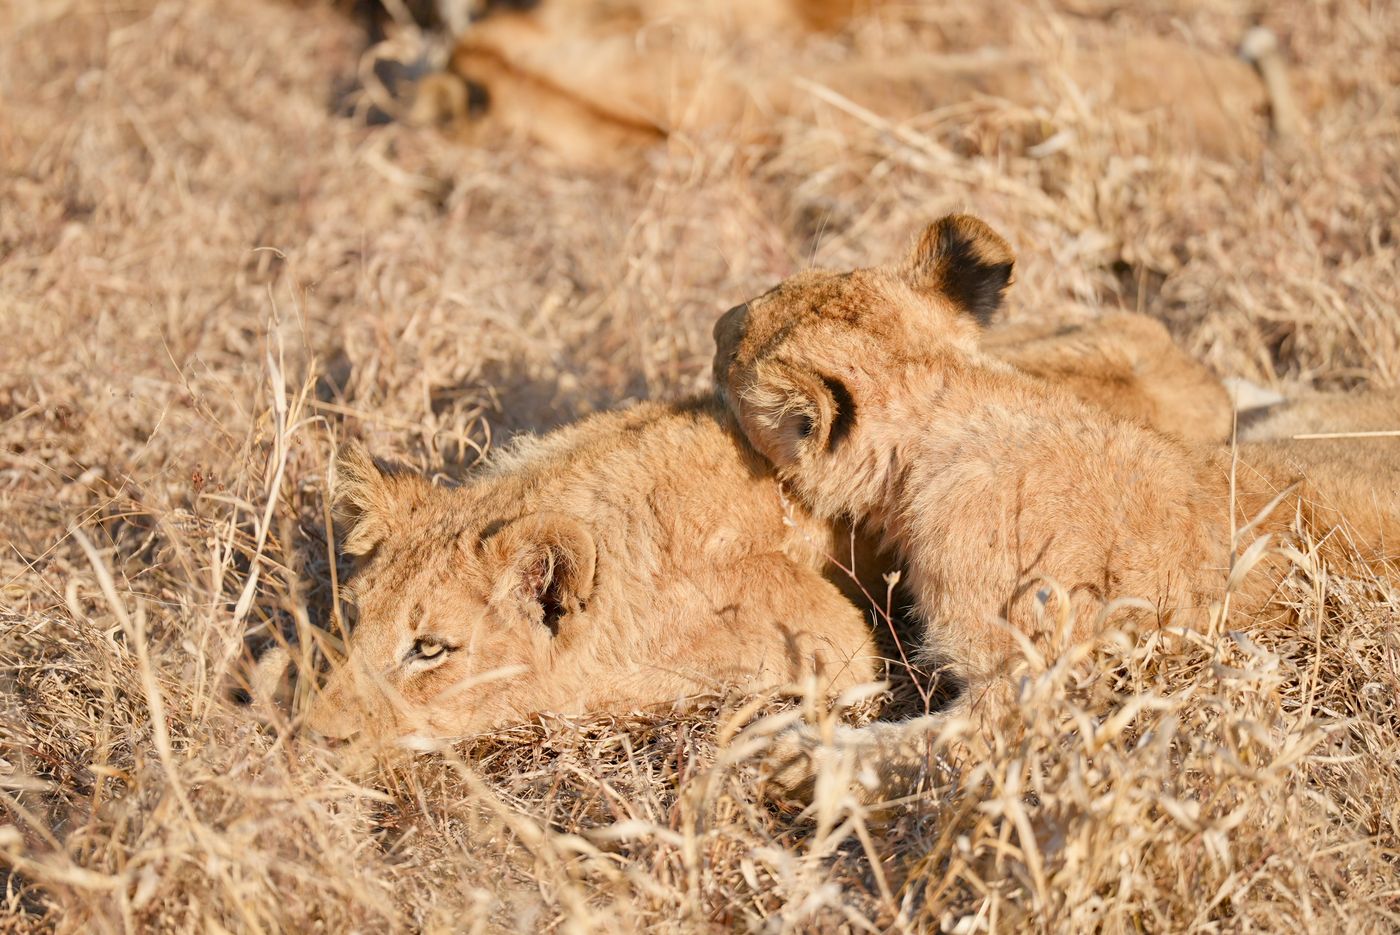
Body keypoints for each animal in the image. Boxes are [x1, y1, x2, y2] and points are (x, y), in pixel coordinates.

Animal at [712, 213, 1398, 796]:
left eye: (735, 351)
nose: (716, 324)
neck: (959, 400)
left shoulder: (1043, 677)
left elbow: (932, 744)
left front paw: (786, 755)